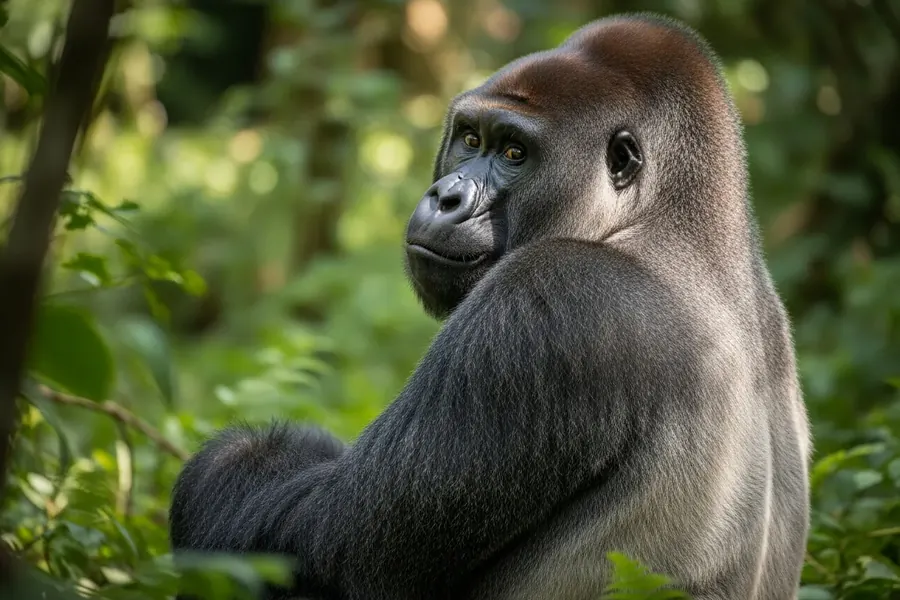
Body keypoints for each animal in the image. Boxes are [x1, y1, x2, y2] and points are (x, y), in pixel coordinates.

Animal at [168, 12, 811, 600]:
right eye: (471, 140)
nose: (446, 198)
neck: (669, 222)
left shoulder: (545, 298)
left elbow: (328, 545)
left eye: (515, 151)